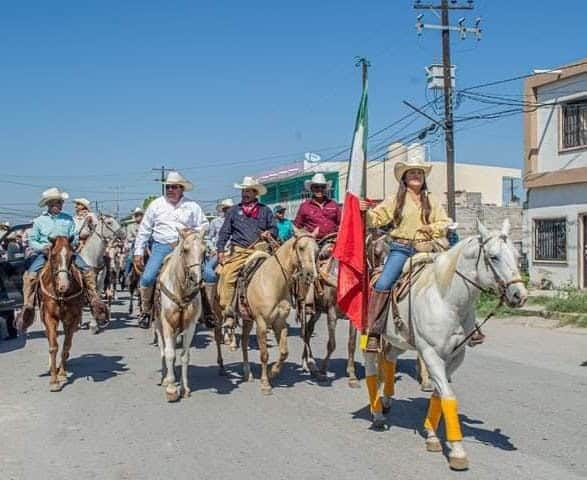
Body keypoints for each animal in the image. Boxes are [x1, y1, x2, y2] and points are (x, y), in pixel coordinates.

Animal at [38, 235, 85, 390]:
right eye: (52, 256)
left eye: (72, 256)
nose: (63, 285)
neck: (61, 295)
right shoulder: (49, 317)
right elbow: (53, 346)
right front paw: (54, 381)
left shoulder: (73, 318)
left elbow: (66, 345)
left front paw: (62, 374)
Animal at [154, 229, 207, 402]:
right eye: (185, 250)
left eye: (205, 251)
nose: (196, 279)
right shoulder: (167, 323)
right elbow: (170, 354)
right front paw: (171, 389)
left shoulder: (190, 326)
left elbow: (184, 356)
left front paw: (184, 389)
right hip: (158, 324)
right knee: (163, 350)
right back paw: (165, 377)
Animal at [241, 229, 320, 394]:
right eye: (301, 248)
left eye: (317, 250)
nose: (311, 274)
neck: (272, 283)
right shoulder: (261, 323)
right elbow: (264, 354)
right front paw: (265, 383)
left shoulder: (280, 322)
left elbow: (284, 352)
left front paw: (273, 372)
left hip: (247, 318)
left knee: (244, 341)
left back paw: (248, 372)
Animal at [366, 219, 532, 470]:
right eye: (493, 257)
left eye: (516, 255)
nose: (519, 295)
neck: (448, 301)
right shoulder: (431, 354)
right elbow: (448, 396)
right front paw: (458, 451)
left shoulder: (455, 355)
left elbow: (439, 394)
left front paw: (432, 435)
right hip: (367, 334)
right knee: (371, 371)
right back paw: (377, 415)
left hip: (398, 341)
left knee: (389, 360)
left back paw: (385, 401)